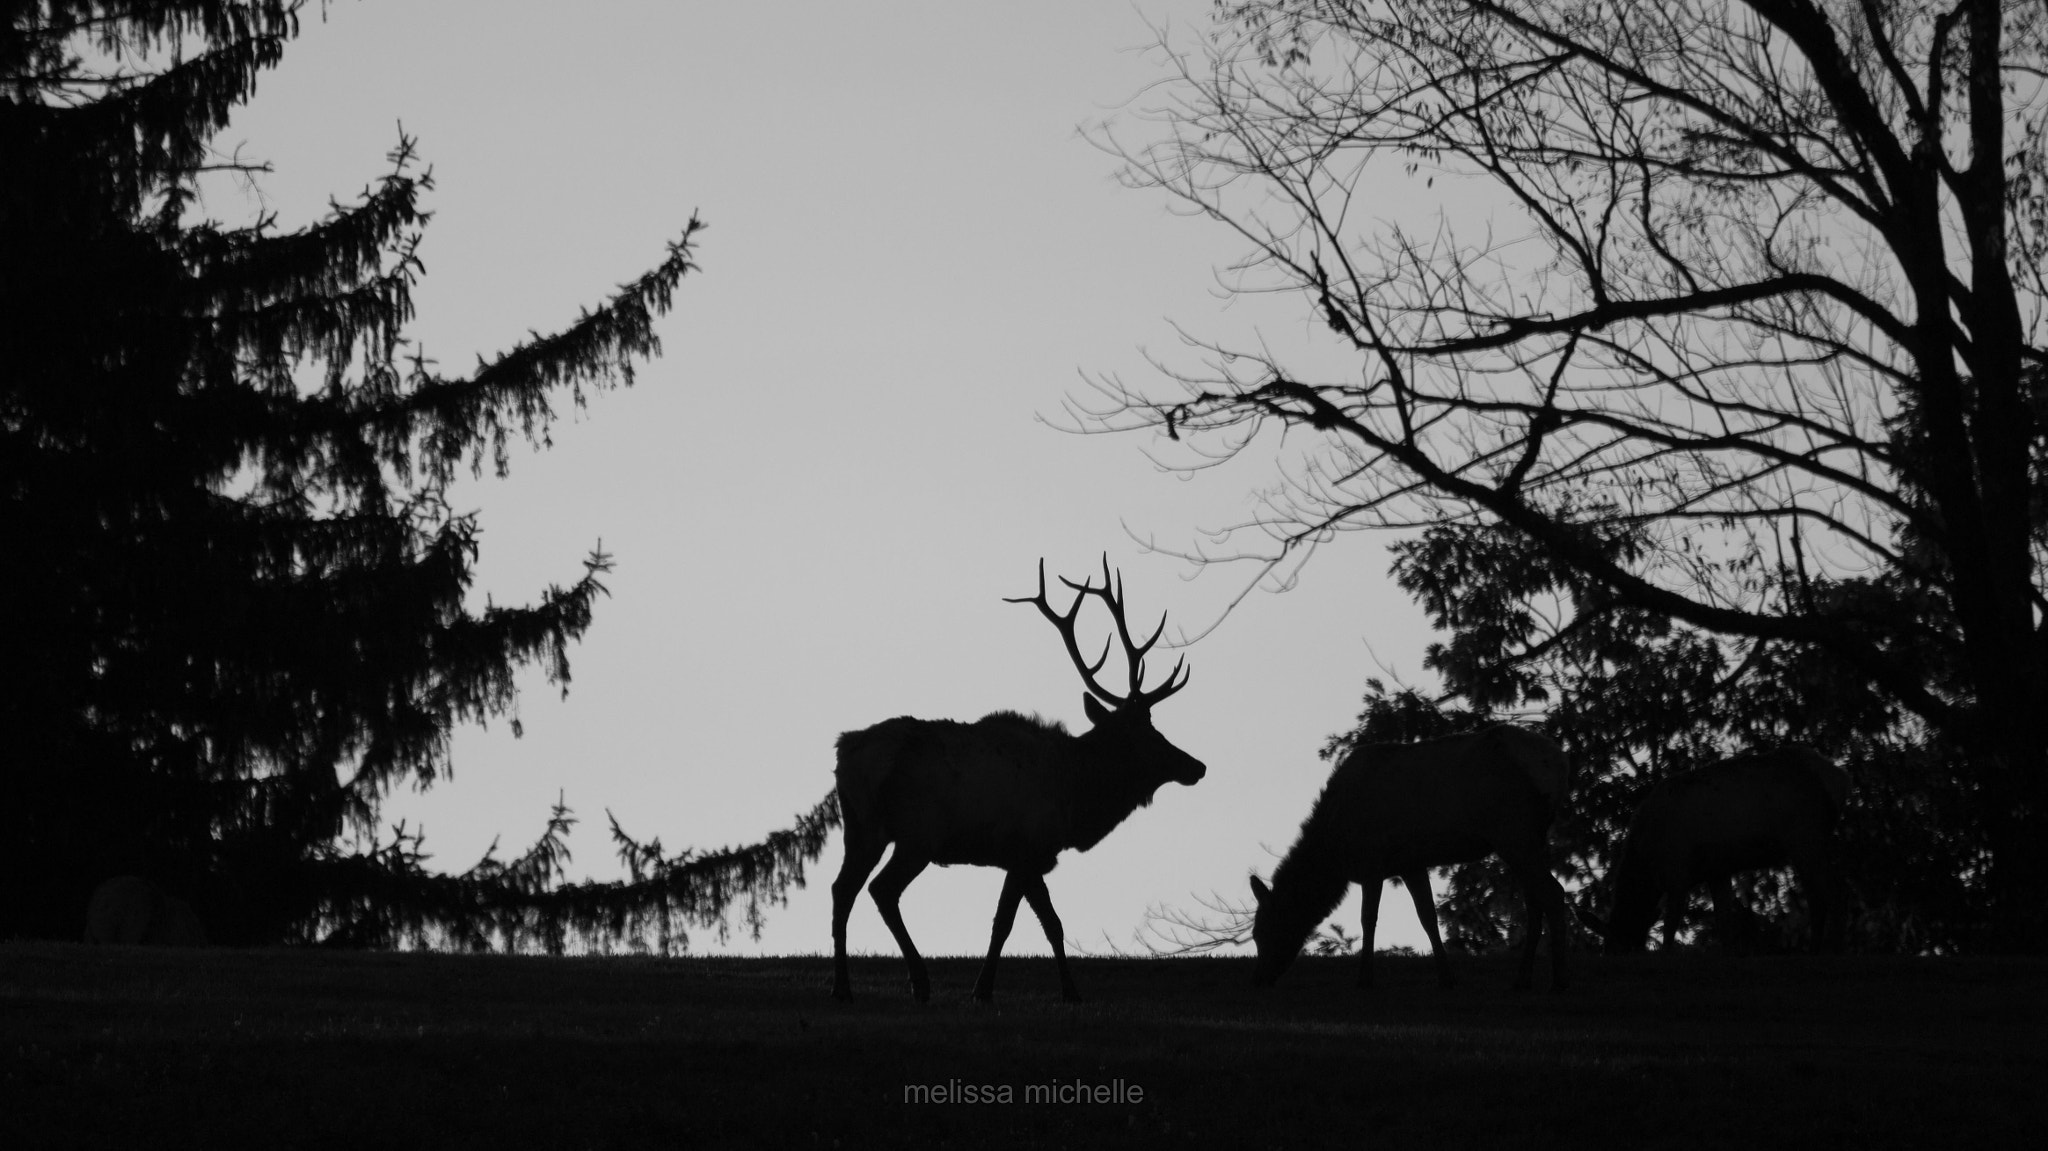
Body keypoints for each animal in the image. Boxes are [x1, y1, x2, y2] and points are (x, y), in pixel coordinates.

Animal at [830, 557, 1206, 1004]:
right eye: (1149, 733)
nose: (1197, 766)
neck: (1074, 795)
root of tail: (844, 752)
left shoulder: (1026, 855)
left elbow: (1037, 922)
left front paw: (1045, 990)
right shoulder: (1026, 848)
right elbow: (1019, 923)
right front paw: (996, 990)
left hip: (861, 829)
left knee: (842, 890)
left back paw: (843, 988)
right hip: (917, 834)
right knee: (882, 890)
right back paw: (918, 982)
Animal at [1249, 724, 1572, 992]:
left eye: (1264, 930)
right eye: (1255, 933)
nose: (1259, 978)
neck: (1335, 854)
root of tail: (1558, 764)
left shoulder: (1373, 861)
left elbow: (1368, 919)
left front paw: (1365, 979)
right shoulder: (1410, 864)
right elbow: (1427, 917)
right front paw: (1447, 978)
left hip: (1513, 831)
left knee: (1554, 893)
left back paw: (1558, 982)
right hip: (1531, 838)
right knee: (1535, 900)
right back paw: (1522, 980)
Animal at [1580, 746, 1848, 953]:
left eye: (1622, 948)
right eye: (1606, 950)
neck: (1646, 859)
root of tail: (1838, 777)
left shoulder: (1678, 872)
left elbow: (1670, 928)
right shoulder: (1717, 871)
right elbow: (1724, 924)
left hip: (1805, 836)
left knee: (1831, 891)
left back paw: (1828, 947)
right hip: (1808, 844)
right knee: (1823, 894)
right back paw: (1821, 947)